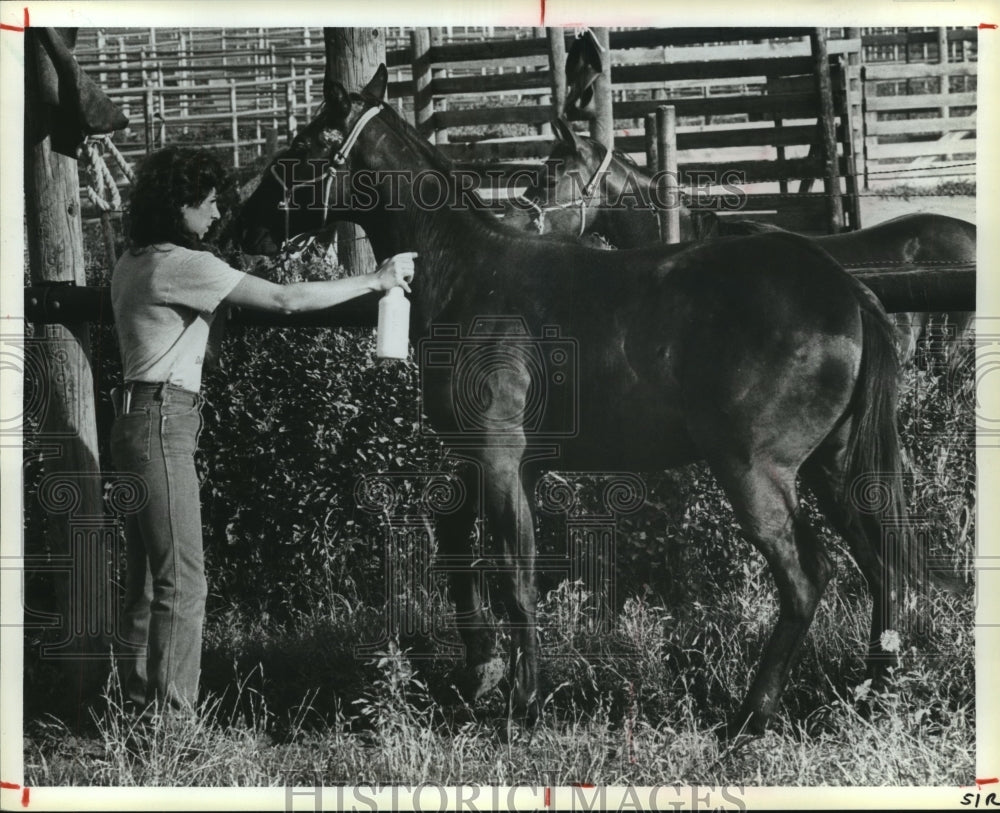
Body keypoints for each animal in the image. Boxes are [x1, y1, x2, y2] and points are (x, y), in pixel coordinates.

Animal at [236, 64, 910, 737]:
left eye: (301, 147)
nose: (240, 224)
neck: (472, 276)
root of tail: (846, 290)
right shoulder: (492, 458)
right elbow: (456, 538)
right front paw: (483, 669)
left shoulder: (500, 457)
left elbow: (515, 576)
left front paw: (525, 703)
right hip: (832, 469)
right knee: (879, 563)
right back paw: (876, 690)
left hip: (756, 473)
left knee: (807, 577)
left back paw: (751, 713)